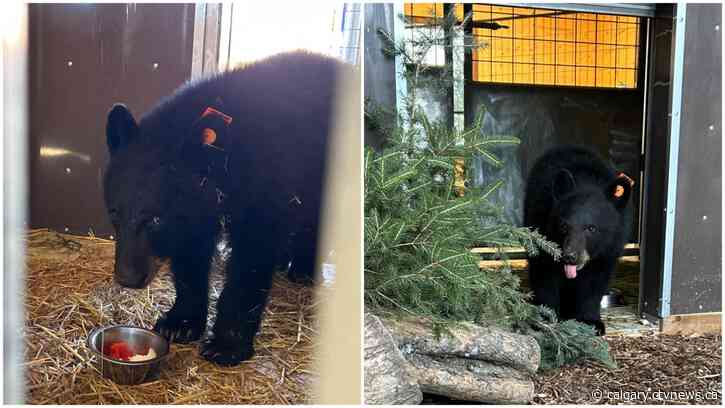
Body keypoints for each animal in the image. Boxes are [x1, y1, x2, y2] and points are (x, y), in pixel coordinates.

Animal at [103, 51, 344, 365]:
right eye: (114, 212)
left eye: (155, 219)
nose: (128, 278)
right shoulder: (195, 207)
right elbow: (190, 255)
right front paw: (180, 322)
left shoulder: (264, 188)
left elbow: (251, 260)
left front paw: (226, 344)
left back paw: (304, 267)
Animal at [523, 145, 632, 335]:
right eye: (563, 226)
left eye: (591, 228)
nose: (570, 256)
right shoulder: (541, 225)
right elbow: (544, 273)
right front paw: (546, 315)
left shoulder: (610, 247)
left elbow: (595, 282)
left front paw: (591, 321)